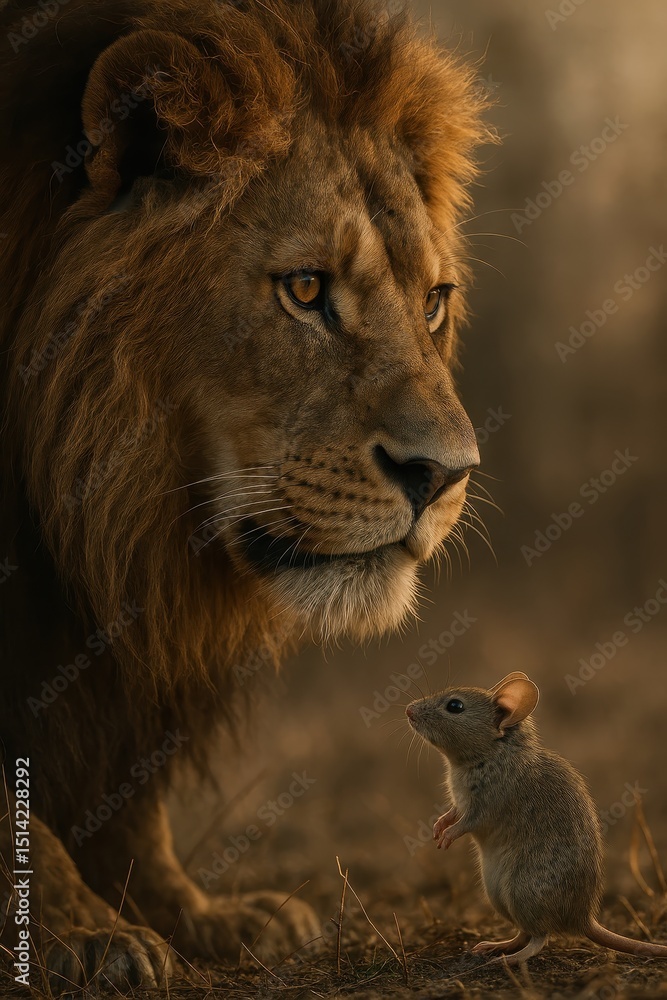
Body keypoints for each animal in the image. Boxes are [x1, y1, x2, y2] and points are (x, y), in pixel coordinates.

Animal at [0, 0, 490, 990]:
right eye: (304, 288)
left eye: (432, 300)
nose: (447, 474)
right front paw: (76, 933)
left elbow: (127, 789)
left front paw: (195, 915)